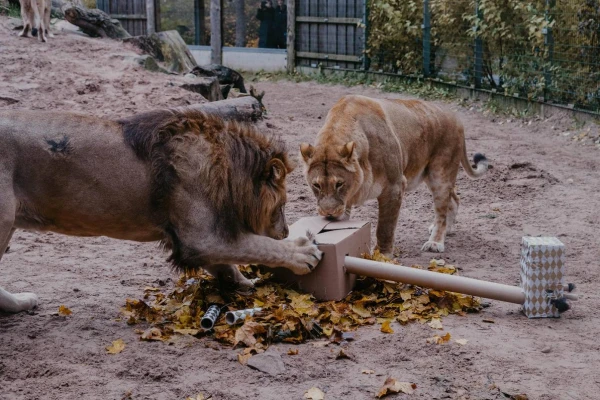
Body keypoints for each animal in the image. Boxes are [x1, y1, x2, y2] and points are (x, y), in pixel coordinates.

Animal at [0, 108, 324, 314]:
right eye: (282, 205)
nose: (285, 230)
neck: (226, 168)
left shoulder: (195, 240)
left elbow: (228, 264)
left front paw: (245, 284)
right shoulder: (200, 238)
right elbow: (258, 246)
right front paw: (301, 252)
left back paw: (20, 303)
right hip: (3, 220)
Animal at [300, 95, 488, 255]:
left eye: (339, 184)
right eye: (316, 185)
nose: (329, 214)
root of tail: (456, 117)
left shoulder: (394, 186)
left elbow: (385, 228)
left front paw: (382, 256)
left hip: (440, 174)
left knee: (442, 208)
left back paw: (435, 242)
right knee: (454, 198)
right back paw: (446, 229)